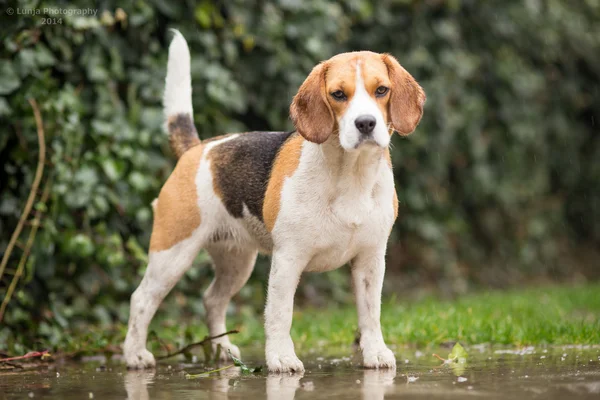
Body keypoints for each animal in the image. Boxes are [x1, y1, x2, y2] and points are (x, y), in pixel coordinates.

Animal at [124, 30, 424, 372]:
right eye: (338, 94)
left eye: (381, 90)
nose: (365, 123)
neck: (351, 174)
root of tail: (198, 148)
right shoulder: (288, 258)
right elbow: (281, 313)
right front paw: (281, 357)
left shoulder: (371, 259)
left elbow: (371, 313)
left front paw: (375, 352)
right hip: (172, 254)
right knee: (141, 299)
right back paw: (134, 355)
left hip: (236, 261)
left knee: (212, 299)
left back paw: (222, 350)